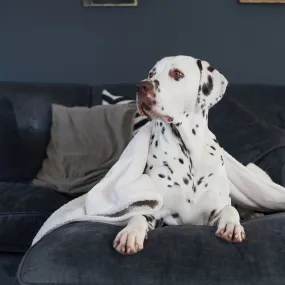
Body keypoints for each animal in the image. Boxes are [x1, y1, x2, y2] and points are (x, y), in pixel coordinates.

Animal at [112, 54, 245, 254]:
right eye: (151, 74)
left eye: (177, 74)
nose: (142, 86)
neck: (189, 153)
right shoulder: (157, 212)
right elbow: (139, 216)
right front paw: (130, 233)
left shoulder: (215, 208)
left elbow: (230, 210)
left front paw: (231, 226)